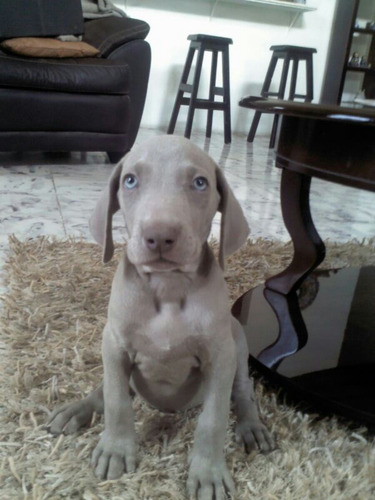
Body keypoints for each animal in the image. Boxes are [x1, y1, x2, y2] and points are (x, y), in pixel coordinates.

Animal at [48, 136, 274, 500]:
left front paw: (208, 474)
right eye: (130, 180)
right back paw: (77, 410)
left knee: (242, 391)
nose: (159, 236)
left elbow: (213, 418)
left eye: (200, 183)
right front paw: (116, 449)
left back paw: (252, 427)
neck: (168, 288)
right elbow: (116, 401)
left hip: (237, 341)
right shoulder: (114, 344)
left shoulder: (220, 356)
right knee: (107, 390)